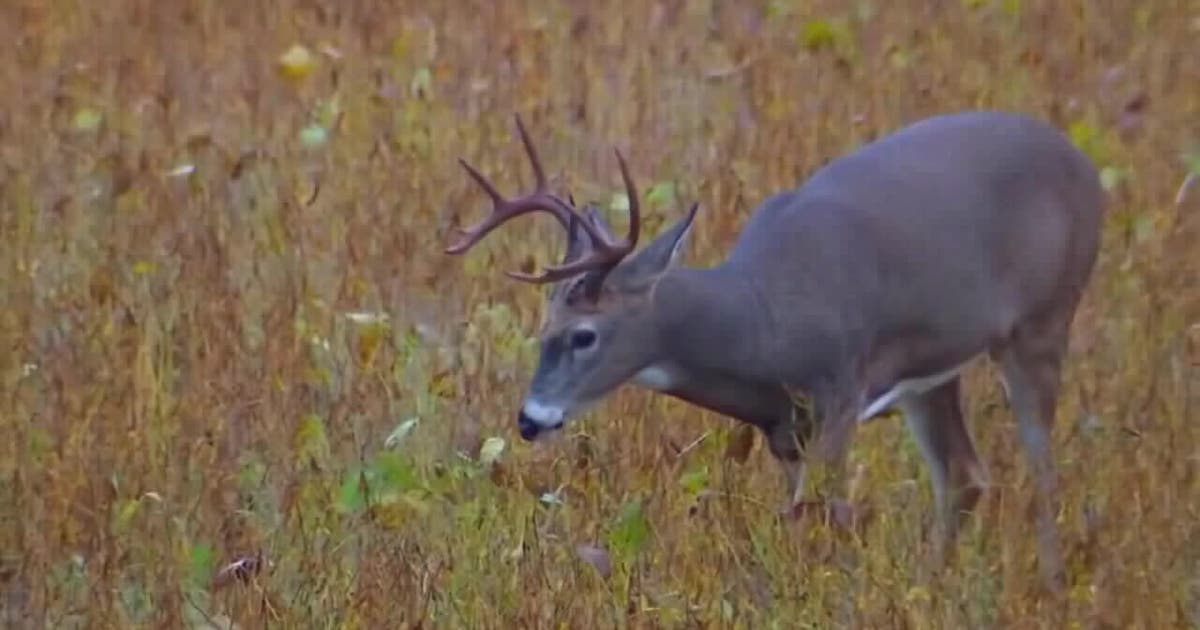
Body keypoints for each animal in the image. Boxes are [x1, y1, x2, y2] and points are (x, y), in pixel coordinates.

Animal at [444, 111, 1103, 593]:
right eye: (543, 326)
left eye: (585, 335)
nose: (530, 420)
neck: (764, 324)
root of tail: (1084, 165)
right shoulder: (785, 430)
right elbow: (796, 515)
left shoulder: (841, 392)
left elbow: (831, 512)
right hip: (935, 371)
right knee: (965, 476)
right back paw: (933, 582)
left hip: (1045, 320)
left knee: (1042, 467)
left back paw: (1052, 582)